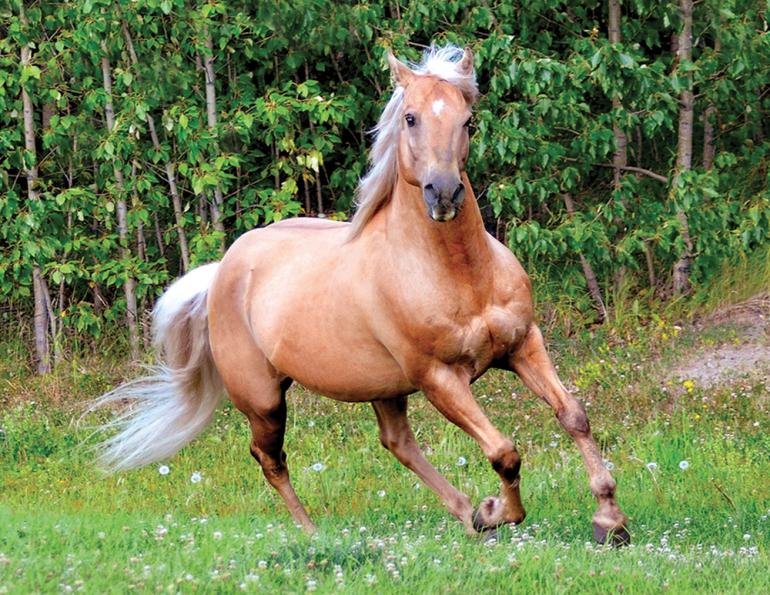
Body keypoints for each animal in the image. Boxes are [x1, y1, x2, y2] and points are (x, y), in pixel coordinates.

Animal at [94, 45, 629, 545]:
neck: (460, 274)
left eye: (468, 120)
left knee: (397, 443)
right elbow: (504, 450)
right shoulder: (440, 378)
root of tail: (224, 268)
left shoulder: (523, 345)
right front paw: (497, 510)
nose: (444, 194)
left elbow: (573, 416)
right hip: (263, 399)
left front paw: (610, 521)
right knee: (270, 457)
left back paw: (464, 514)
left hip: (383, 387)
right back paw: (315, 532)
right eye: (410, 117)